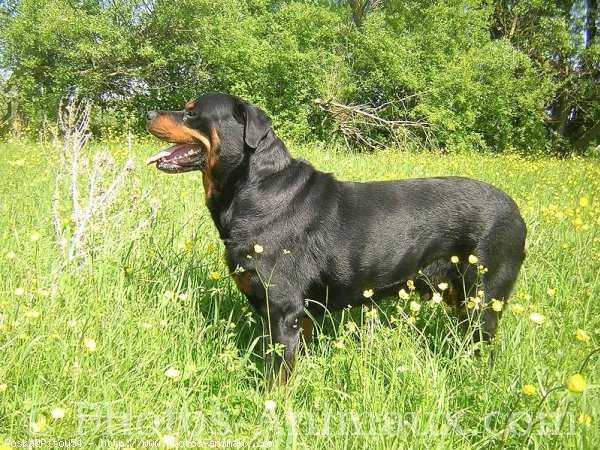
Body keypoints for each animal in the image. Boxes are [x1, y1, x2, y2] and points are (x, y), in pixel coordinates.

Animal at [148, 93, 528, 384]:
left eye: (191, 112)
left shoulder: (283, 308)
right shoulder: (295, 313)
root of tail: (517, 211)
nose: (149, 112)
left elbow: (278, 372)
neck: (254, 189)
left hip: (483, 299)